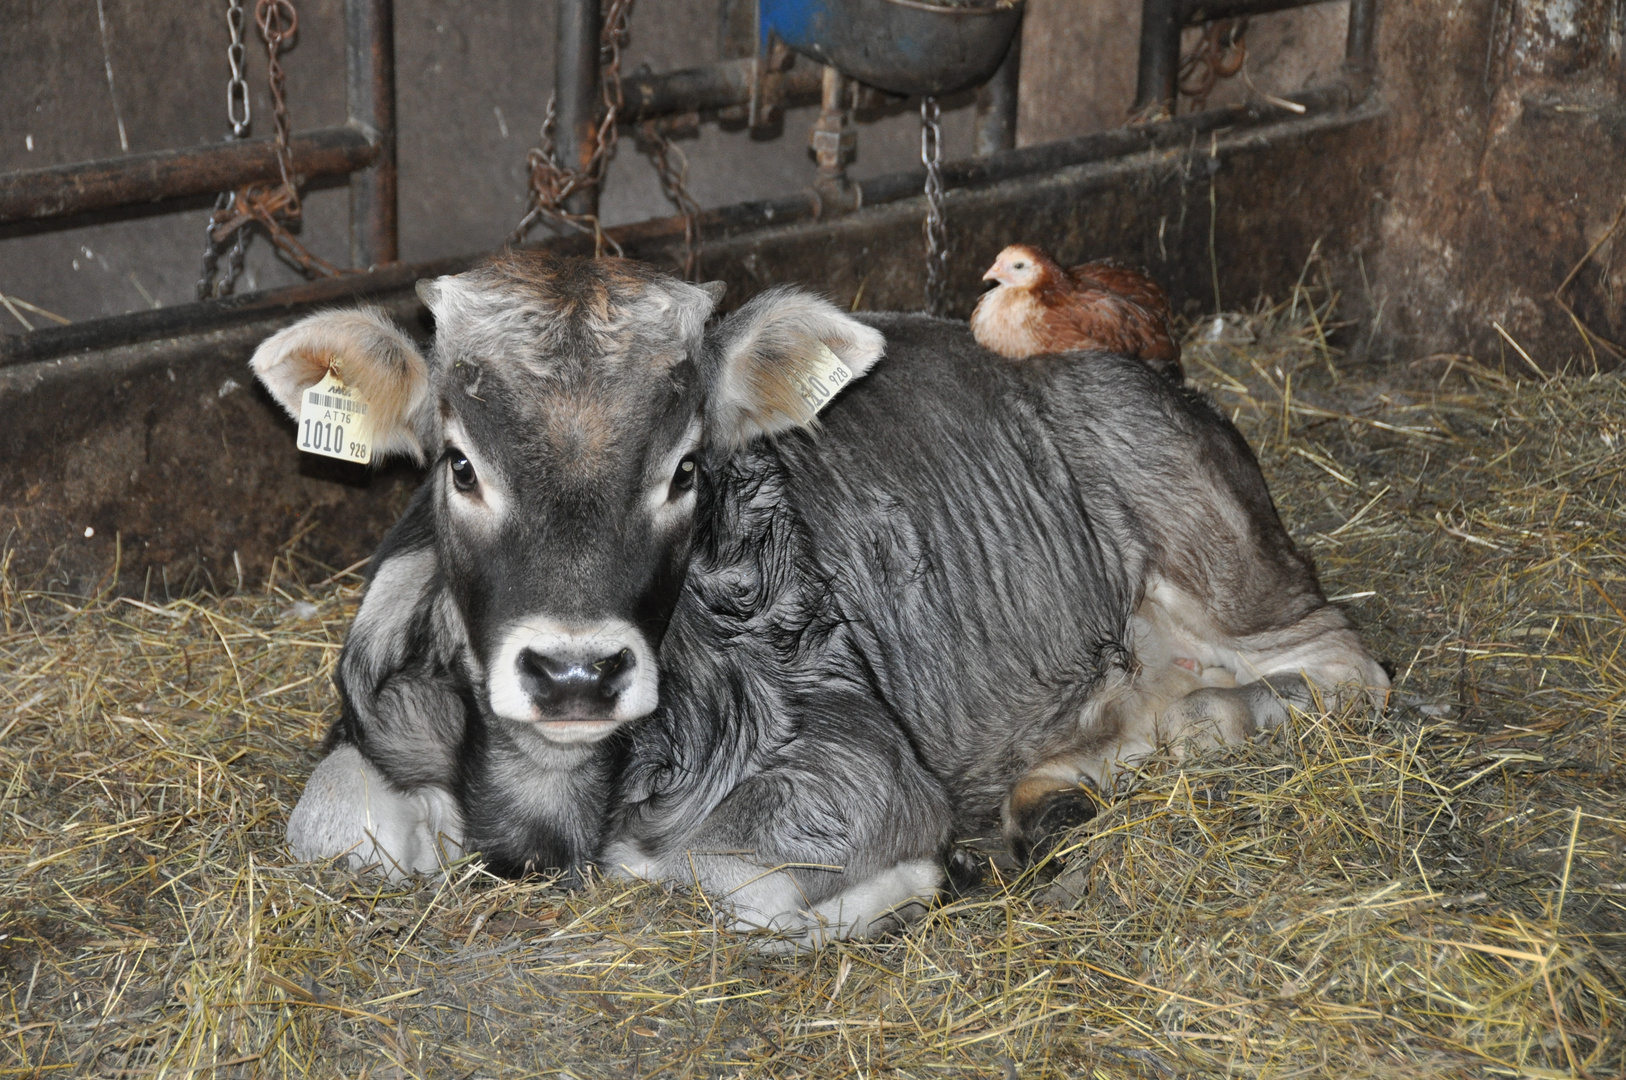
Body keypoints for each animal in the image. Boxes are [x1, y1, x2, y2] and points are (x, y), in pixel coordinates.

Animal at [253, 253, 1385, 943]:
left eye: (686, 470)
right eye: (459, 465)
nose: (576, 670)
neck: (556, 802)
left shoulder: (856, 765)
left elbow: (747, 886)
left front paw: (927, 877)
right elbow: (326, 822)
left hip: (1228, 560)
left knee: (1342, 666)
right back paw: (1051, 791)